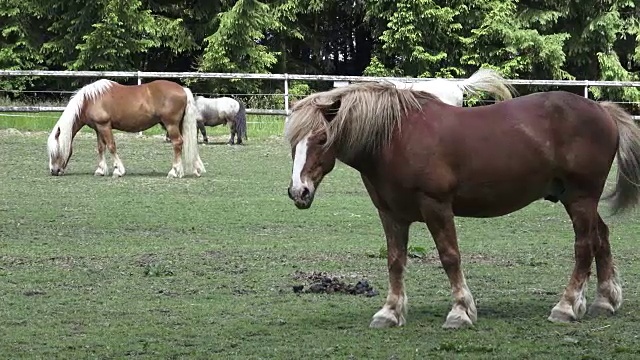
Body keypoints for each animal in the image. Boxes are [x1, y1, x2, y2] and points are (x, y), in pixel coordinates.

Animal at [48, 80, 206, 179]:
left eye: (56, 151)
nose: (54, 171)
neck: (90, 100)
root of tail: (182, 89)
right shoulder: (98, 128)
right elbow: (101, 148)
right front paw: (100, 170)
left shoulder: (105, 126)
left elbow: (111, 146)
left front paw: (118, 171)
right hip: (179, 125)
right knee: (187, 143)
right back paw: (195, 170)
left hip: (171, 125)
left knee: (177, 143)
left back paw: (174, 172)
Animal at [284, 81, 640, 330]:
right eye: (293, 143)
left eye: (321, 139)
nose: (298, 192)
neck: (396, 137)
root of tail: (603, 110)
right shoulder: (391, 214)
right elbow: (395, 261)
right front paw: (390, 312)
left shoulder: (436, 206)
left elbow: (449, 257)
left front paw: (460, 311)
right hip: (576, 199)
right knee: (601, 237)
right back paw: (604, 301)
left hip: (581, 198)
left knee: (584, 246)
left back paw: (566, 307)